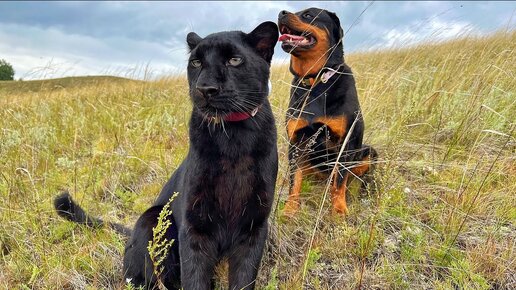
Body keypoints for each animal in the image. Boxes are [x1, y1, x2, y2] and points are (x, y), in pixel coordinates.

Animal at [278, 7, 378, 215]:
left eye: (308, 15)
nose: (281, 13)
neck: (316, 81)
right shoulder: (296, 142)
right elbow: (294, 181)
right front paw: (290, 208)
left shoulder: (346, 143)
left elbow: (339, 181)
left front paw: (338, 210)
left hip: (368, 152)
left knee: (359, 177)